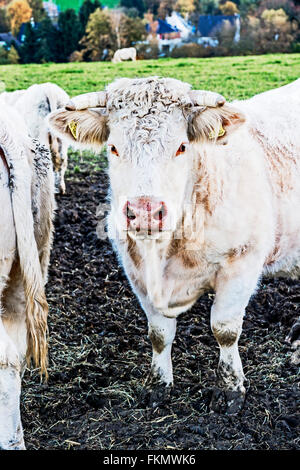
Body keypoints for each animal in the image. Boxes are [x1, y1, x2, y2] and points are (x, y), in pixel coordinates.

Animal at [49, 75, 300, 414]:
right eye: (113, 147)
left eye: (182, 146)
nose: (144, 211)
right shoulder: (135, 271)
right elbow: (158, 333)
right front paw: (158, 385)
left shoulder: (242, 261)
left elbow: (225, 329)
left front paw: (230, 389)